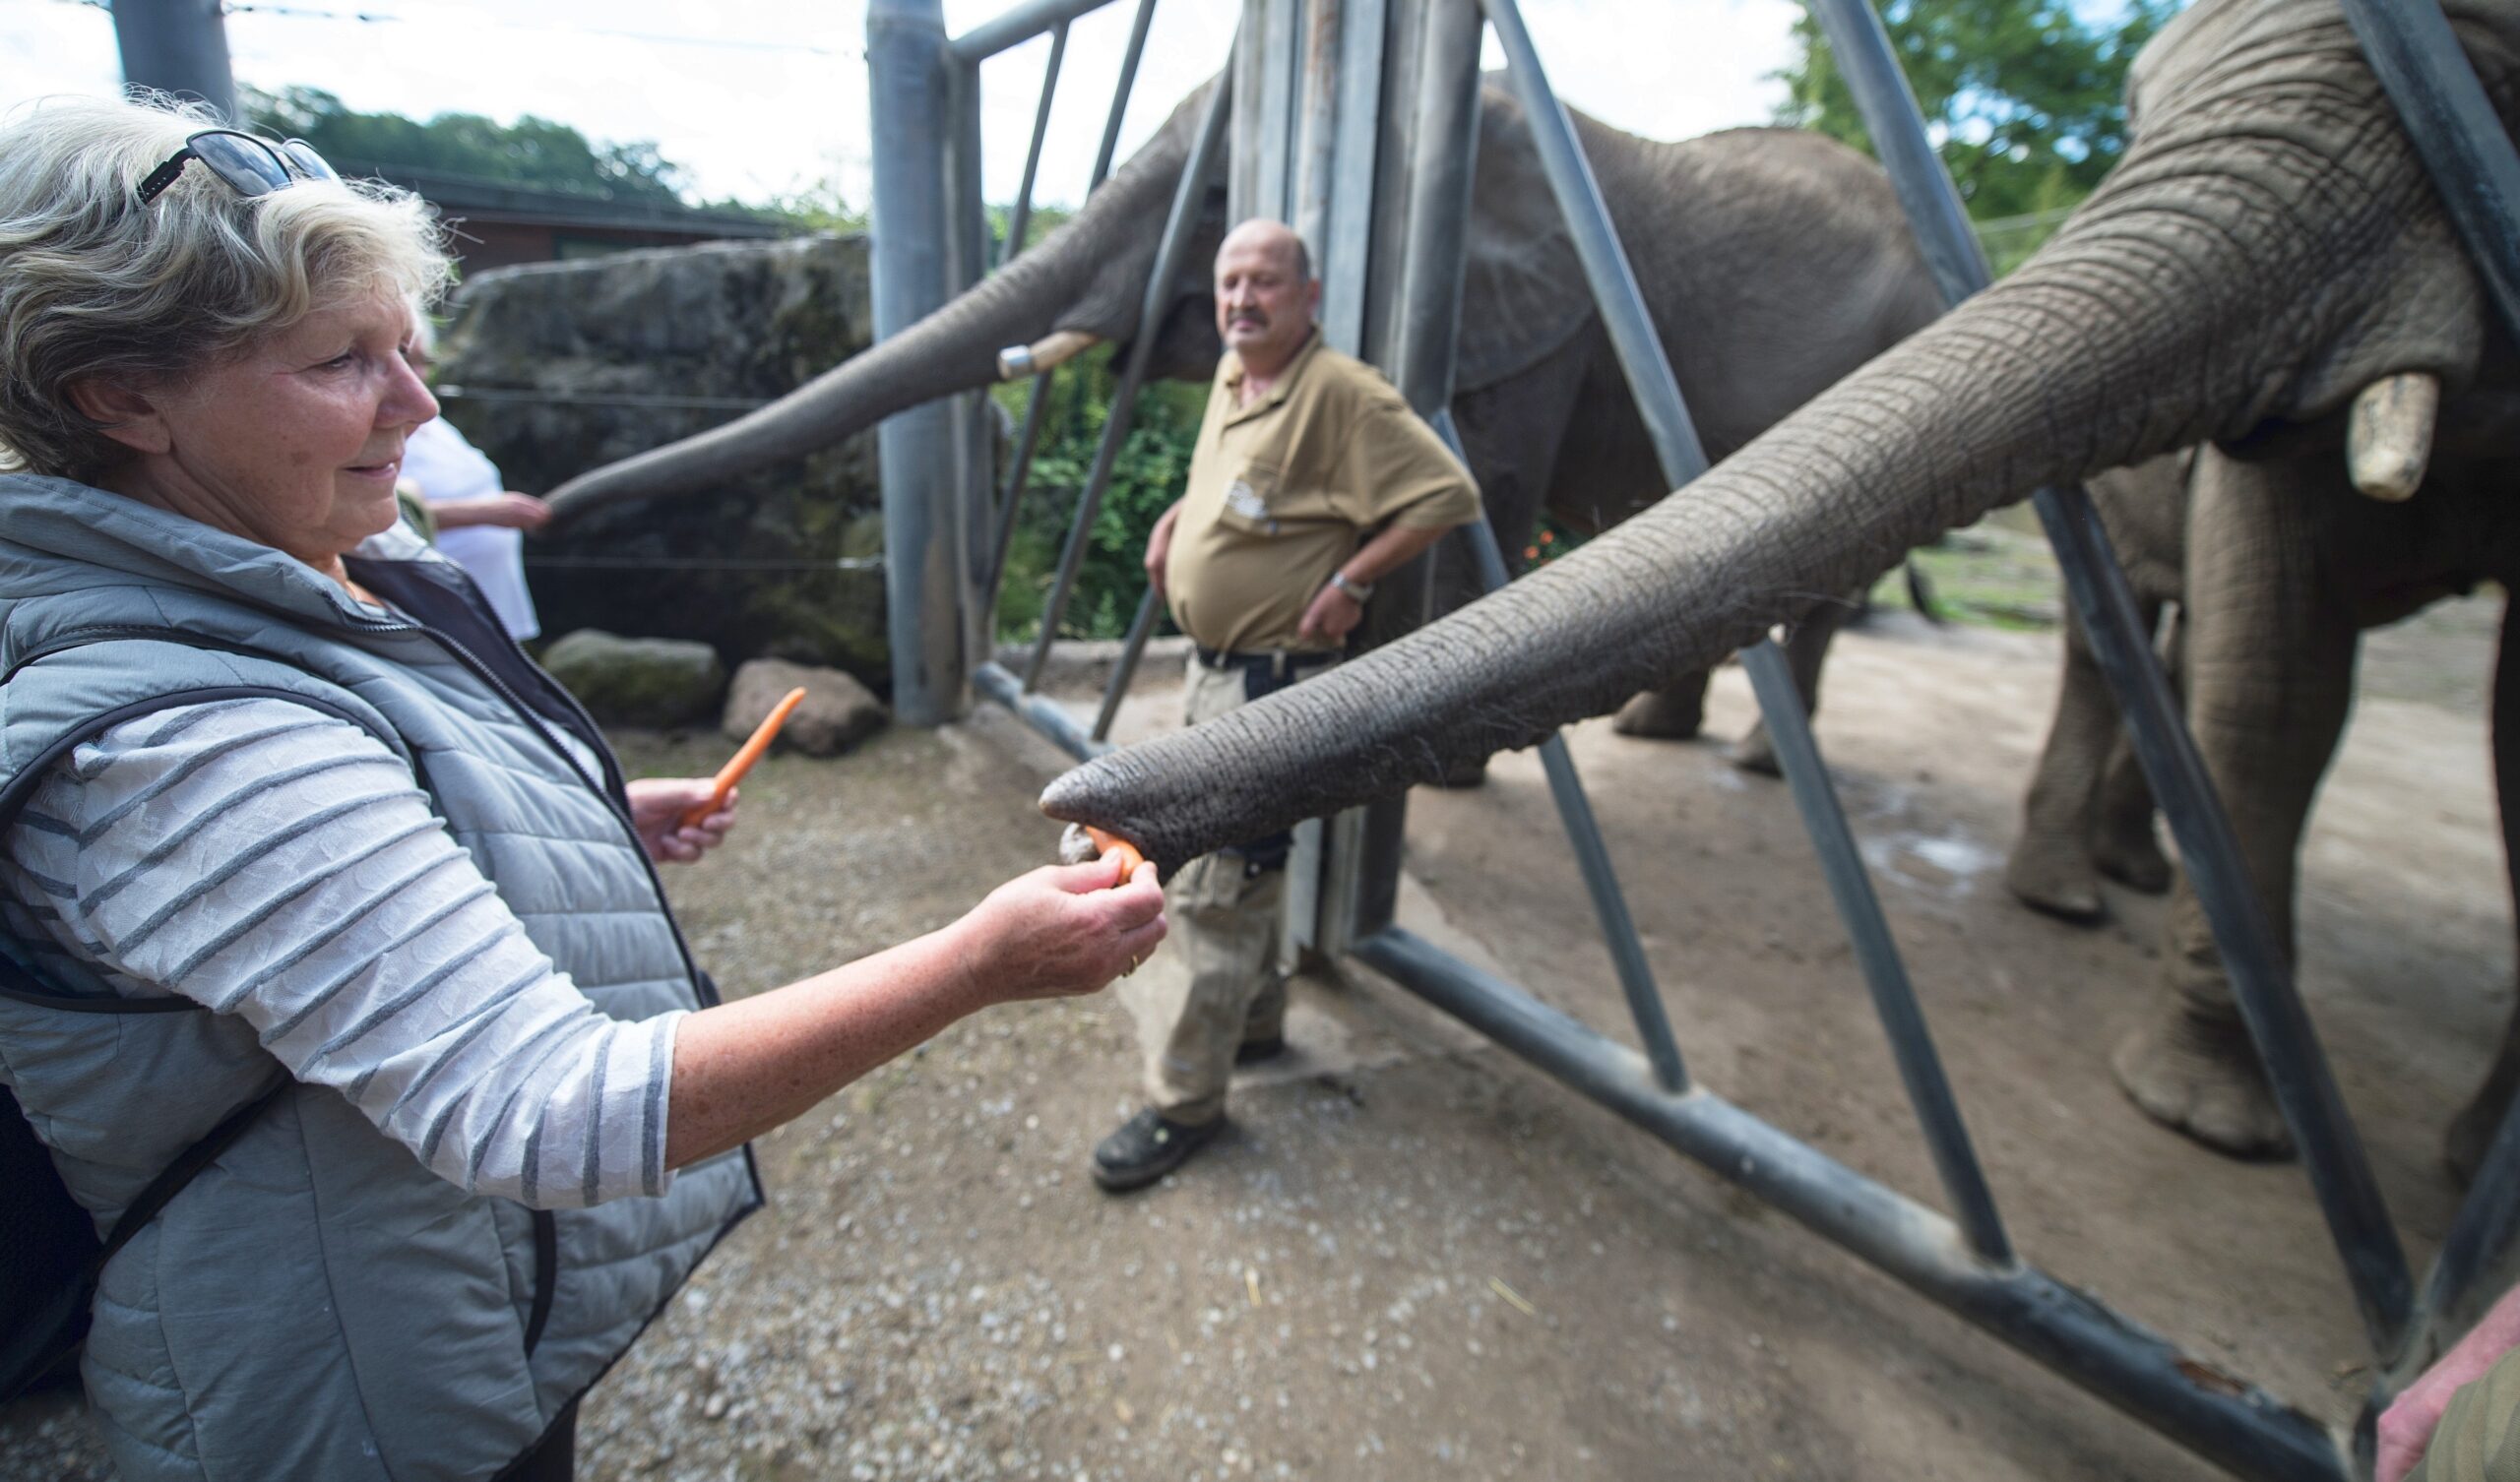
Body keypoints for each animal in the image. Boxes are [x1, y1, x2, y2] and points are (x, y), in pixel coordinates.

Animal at [541, 75, 1935, 771]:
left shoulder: (1549, 315)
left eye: (1208, 200)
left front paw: (1452, 784)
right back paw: (1667, 737)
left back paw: (1759, 767)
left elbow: (1481, 490)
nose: (542, 508)